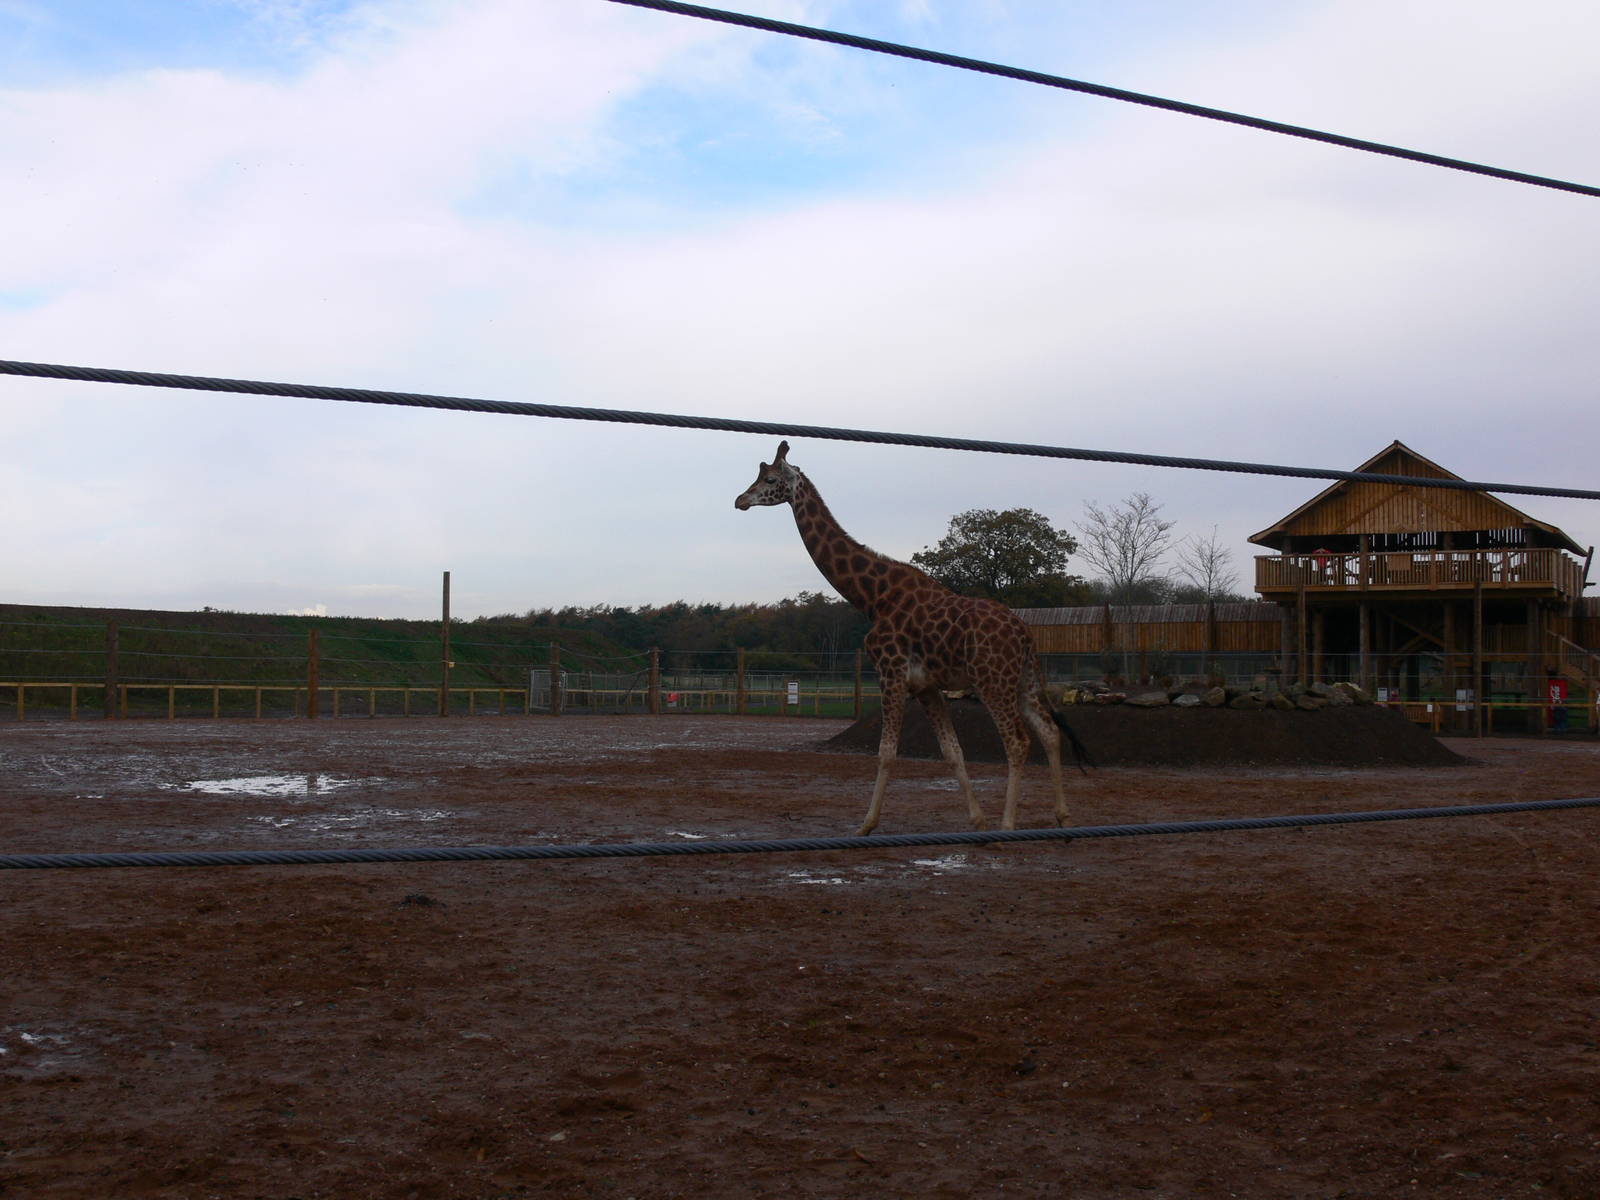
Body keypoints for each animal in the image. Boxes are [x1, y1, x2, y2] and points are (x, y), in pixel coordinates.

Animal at [735, 441, 1089, 836]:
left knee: (1017, 741)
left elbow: (887, 753)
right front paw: (977, 820)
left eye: (769, 479)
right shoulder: (926, 686)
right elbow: (952, 751)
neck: (872, 597)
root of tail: (1026, 634)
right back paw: (1063, 817)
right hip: (1022, 680)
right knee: (1049, 732)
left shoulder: (891, 673)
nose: (739, 500)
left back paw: (1007, 827)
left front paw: (866, 825)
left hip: (992, 681)